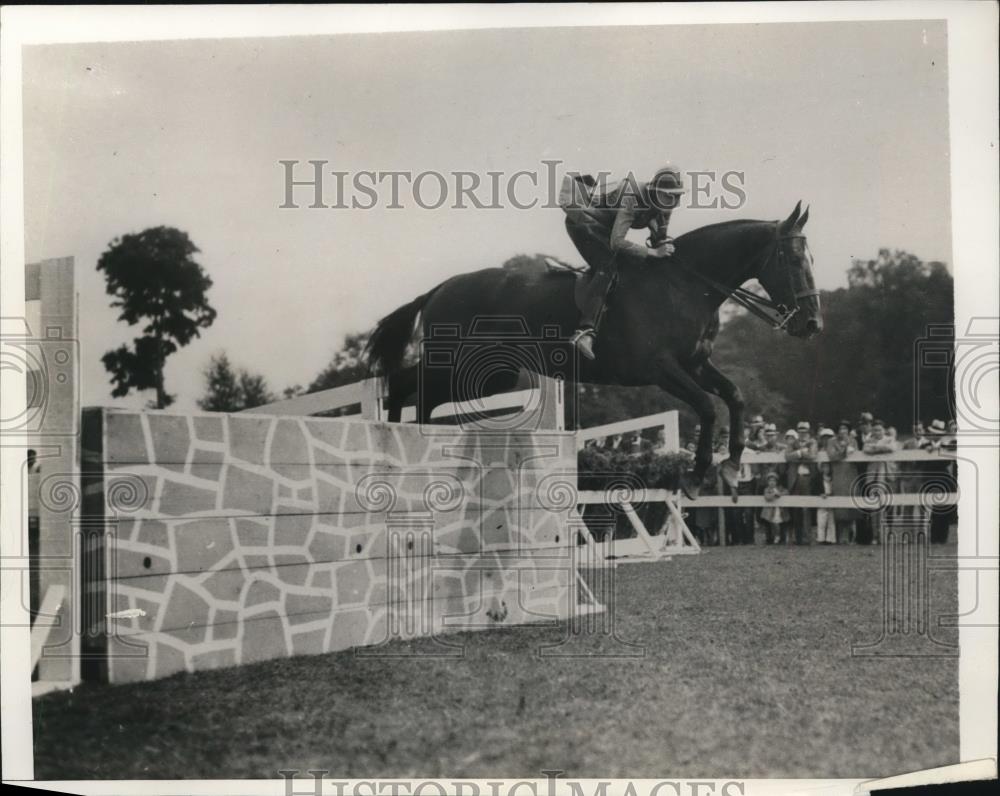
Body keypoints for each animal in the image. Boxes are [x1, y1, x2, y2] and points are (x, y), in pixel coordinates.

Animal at [366, 202, 820, 494]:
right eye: (791, 259)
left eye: (812, 259)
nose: (812, 324)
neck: (684, 285)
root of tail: (439, 289)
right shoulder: (660, 368)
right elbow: (708, 407)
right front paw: (696, 476)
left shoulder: (696, 364)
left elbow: (735, 396)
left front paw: (731, 465)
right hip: (464, 366)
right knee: (405, 385)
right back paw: (395, 442)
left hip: (490, 376)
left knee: (419, 393)